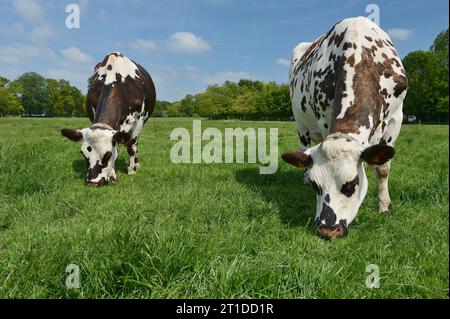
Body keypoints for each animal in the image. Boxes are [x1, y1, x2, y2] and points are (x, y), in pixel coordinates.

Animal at [60, 52, 156, 188]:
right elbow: (118, 146)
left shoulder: (139, 120)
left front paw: (131, 170)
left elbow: (131, 145)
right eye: (83, 155)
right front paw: (112, 174)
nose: (93, 182)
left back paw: (136, 164)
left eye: (108, 155)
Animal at [284, 16, 408, 239]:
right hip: (300, 122)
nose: (327, 229)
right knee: (303, 146)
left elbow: (383, 168)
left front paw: (385, 206)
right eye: (316, 186)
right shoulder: (324, 118)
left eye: (351, 185)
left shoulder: (396, 118)